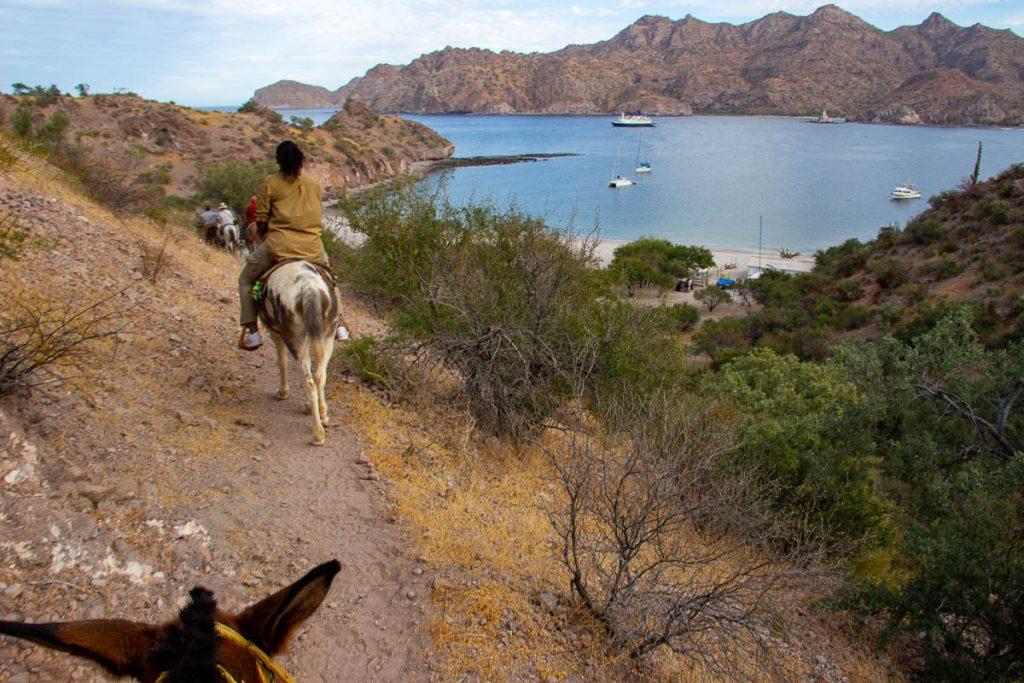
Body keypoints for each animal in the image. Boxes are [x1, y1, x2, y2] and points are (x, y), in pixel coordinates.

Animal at [256, 260, 339, 444]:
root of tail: (309, 287)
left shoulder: (275, 333)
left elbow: (281, 362)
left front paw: (282, 393)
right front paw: (310, 407)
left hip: (294, 338)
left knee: (308, 380)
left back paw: (318, 434)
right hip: (328, 335)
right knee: (320, 375)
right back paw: (323, 416)